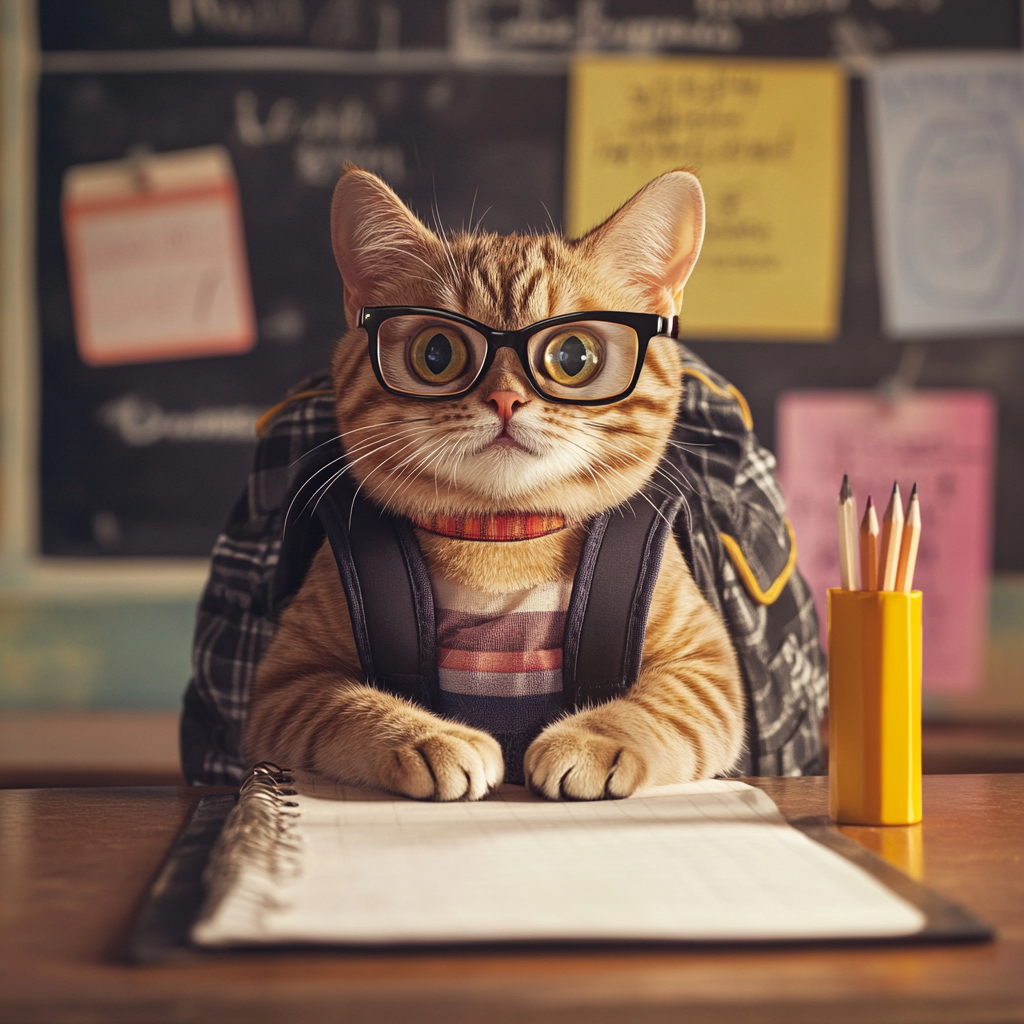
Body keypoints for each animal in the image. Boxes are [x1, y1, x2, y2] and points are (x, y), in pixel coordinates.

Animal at [247, 167, 745, 802]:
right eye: (437, 352)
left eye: (574, 354)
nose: (506, 399)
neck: (504, 534)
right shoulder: (286, 683)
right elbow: (350, 706)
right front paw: (430, 737)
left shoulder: (705, 666)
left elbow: (659, 707)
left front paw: (592, 739)